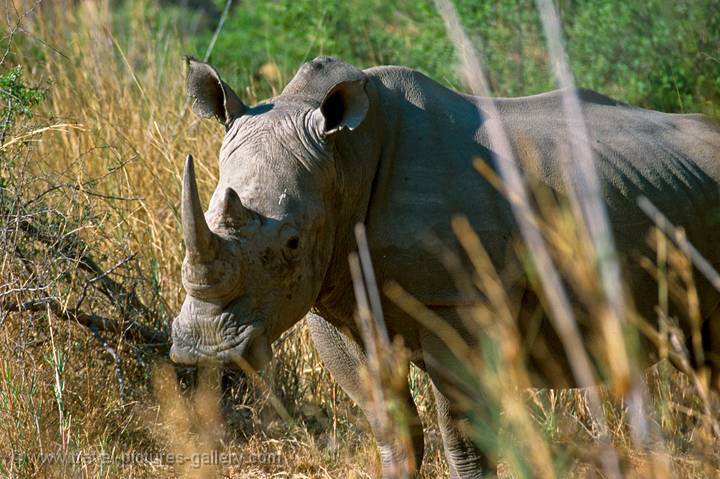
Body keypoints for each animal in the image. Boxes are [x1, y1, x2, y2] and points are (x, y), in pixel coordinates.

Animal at [170, 55, 720, 476]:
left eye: (291, 242)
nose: (204, 349)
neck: (345, 159)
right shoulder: (332, 299)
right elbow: (391, 428)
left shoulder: (458, 299)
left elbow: (463, 438)